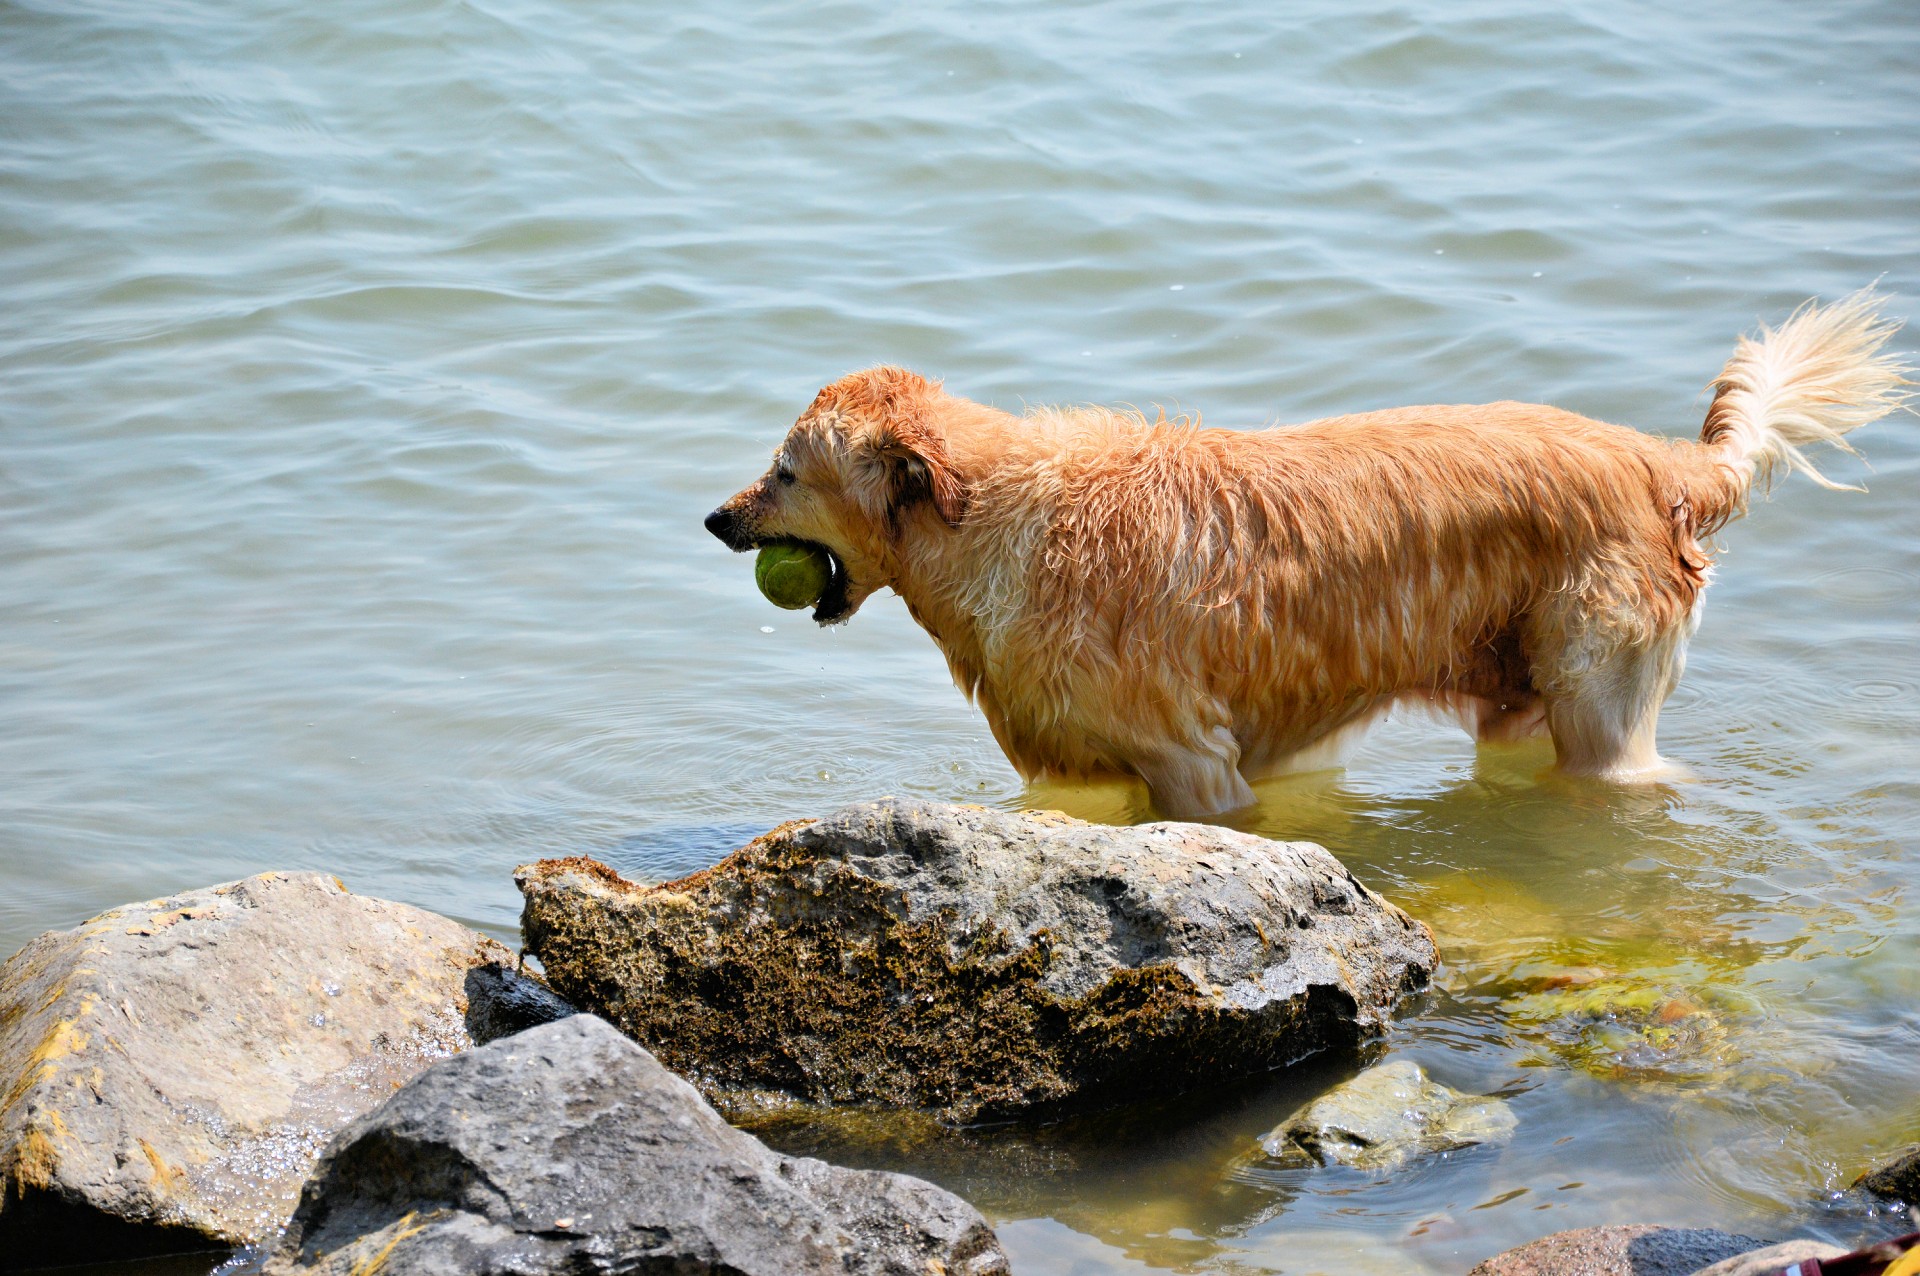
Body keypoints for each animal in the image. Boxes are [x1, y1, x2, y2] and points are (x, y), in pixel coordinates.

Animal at [706, 293, 1904, 817]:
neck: (1000, 522)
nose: (715, 519)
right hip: (1520, 699)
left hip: (1599, 704)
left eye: (784, 469)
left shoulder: (1195, 766)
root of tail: (1660, 463)